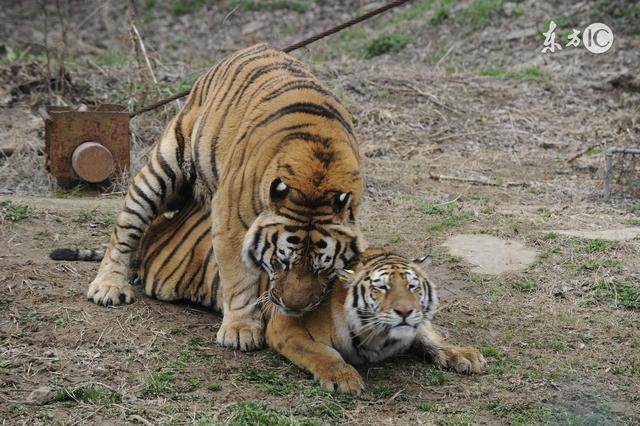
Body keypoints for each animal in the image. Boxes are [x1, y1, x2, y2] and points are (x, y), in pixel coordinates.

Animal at [82, 42, 368, 350]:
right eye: (281, 262)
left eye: (322, 269)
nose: (293, 308)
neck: (316, 175)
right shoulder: (232, 223)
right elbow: (240, 279)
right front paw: (241, 330)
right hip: (162, 169)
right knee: (126, 228)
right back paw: (109, 286)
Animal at [264, 248, 484, 394]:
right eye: (382, 287)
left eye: (412, 286)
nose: (405, 311)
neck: (378, 338)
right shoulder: (284, 325)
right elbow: (321, 351)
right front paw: (343, 378)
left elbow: (429, 336)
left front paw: (461, 354)